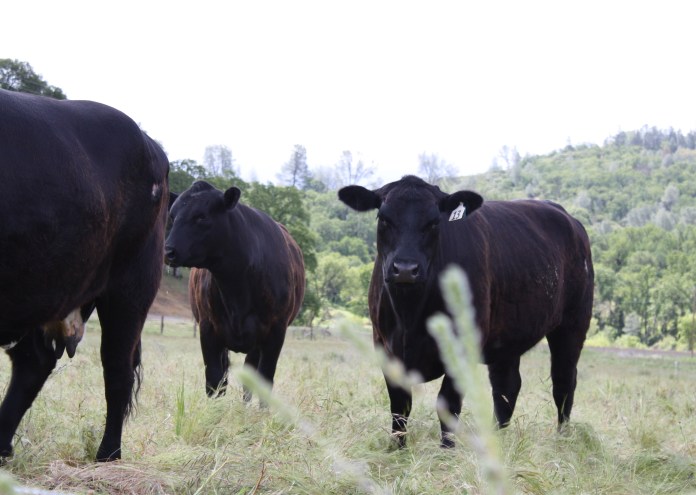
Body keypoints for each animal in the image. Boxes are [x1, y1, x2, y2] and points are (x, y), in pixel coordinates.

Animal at [0, 88, 170, 461]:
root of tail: (149, 143)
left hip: (129, 289)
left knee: (117, 371)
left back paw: (108, 455)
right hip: (47, 287)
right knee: (33, 362)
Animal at [164, 181, 305, 400]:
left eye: (201, 216)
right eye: (172, 216)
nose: (169, 251)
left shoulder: (275, 330)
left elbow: (265, 379)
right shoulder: (208, 328)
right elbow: (214, 379)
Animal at [338, 175, 594, 448]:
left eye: (434, 222)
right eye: (384, 218)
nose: (406, 269)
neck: (410, 316)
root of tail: (568, 218)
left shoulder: (461, 345)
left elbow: (447, 404)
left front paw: (446, 450)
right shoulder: (384, 345)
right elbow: (400, 405)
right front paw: (396, 449)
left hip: (572, 325)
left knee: (563, 383)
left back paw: (562, 440)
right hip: (508, 338)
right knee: (507, 388)